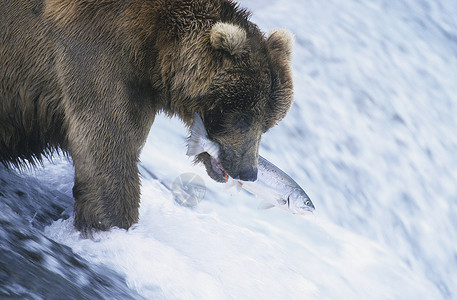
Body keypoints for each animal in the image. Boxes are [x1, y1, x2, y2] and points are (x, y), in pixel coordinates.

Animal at [0, 0, 294, 232]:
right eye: (243, 116)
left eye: (267, 124)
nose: (248, 171)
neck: (155, 51)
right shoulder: (99, 56)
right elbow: (108, 151)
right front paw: (115, 224)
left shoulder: (141, 91)